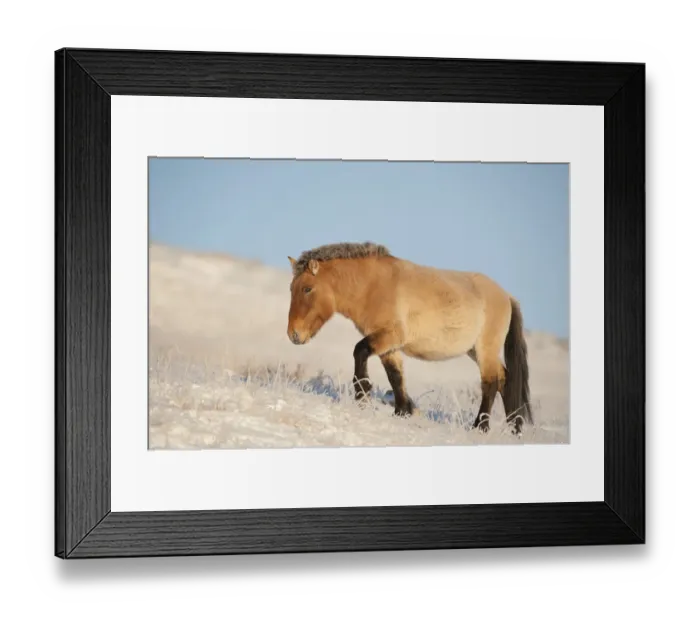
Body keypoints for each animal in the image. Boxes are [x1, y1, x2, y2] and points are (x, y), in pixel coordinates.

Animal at [285, 242, 532, 436]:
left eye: (307, 289)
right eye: (291, 289)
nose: (293, 334)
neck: (372, 286)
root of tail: (506, 296)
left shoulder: (390, 336)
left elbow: (359, 351)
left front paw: (363, 396)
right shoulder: (388, 346)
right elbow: (395, 376)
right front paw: (404, 411)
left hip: (485, 349)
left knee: (491, 382)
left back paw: (480, 427)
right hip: (475, 351)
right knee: (505, 378)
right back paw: (514, 428)